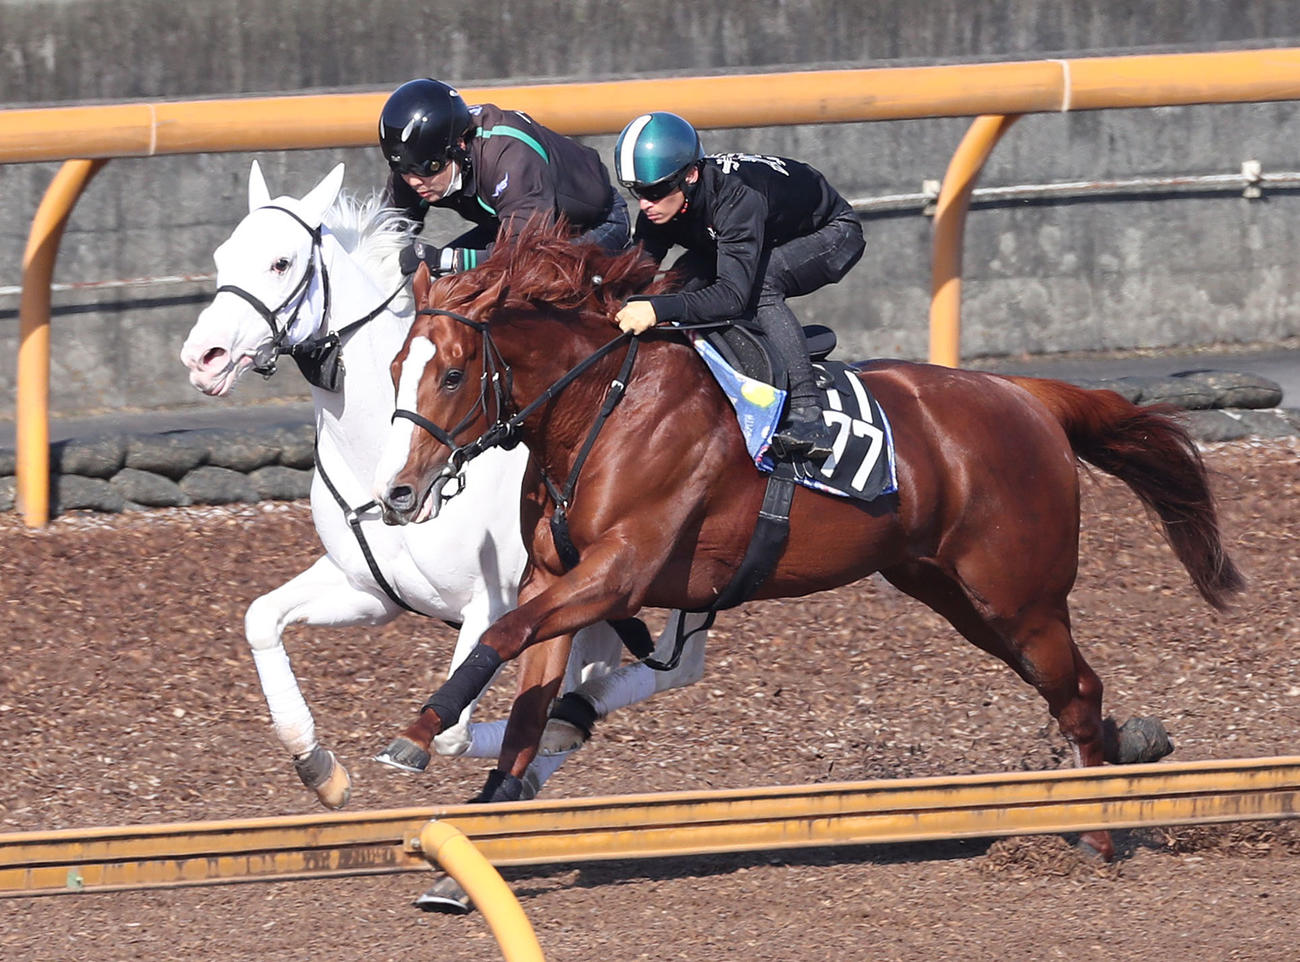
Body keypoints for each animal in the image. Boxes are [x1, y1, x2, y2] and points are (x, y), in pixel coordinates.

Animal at [179, 162, 710, 817]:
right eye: (222, 256)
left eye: (281, 262)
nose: (203, 358)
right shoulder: (370, 592)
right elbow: (260, 619)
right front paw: (320, 768)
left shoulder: (496, 603)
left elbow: (458, 730)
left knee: (676, 668)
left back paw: (567, 724)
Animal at [372, 217, 1244, 861]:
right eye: (391, 368)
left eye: (453, 374)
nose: (399, 494)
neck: (605, 401)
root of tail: (1028, 394)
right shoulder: (559, 579)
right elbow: (525, 703)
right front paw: (471, 844)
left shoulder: (620, 571)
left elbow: (506, 637)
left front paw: (416, 734)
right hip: (957, 595)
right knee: (1072, 692)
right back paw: (1124, 766)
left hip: (1019, 595)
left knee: (1078, 693)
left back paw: (1100, 830)